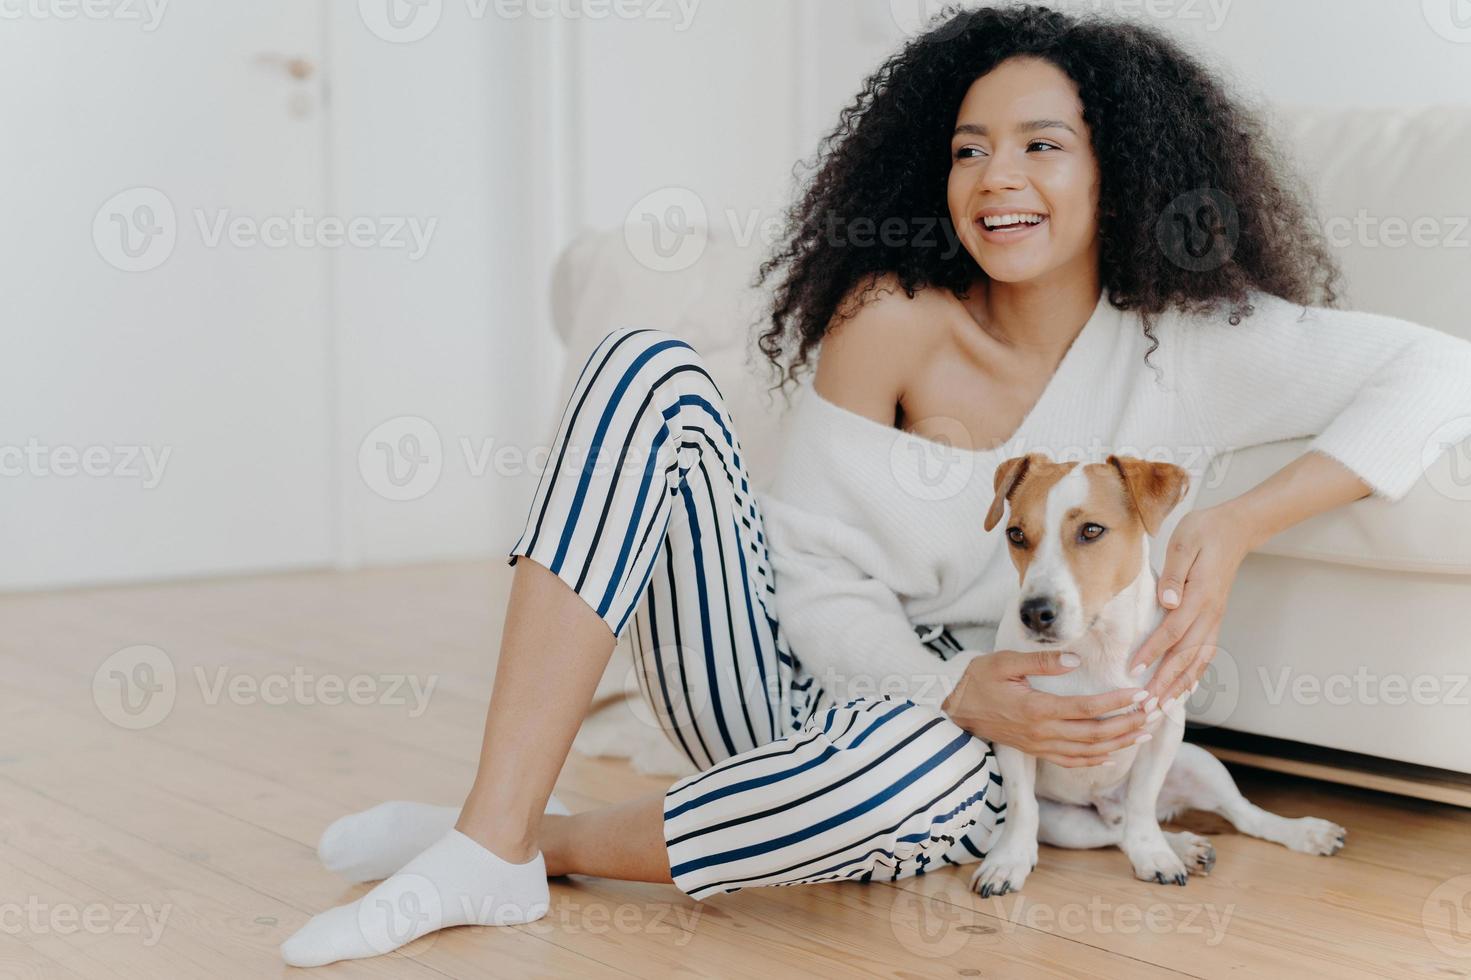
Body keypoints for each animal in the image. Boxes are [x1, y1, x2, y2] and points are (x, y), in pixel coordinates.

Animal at [970, 450, 1347, 894]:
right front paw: (1009, 860)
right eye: (1016, 534)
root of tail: (1106, 806)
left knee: (1242, 814)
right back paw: (1184, 846)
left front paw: (1153, 854)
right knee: (1114, 832)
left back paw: (1301, 833)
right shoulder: (1015, 728)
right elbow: (1020, 805)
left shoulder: (1165, 726)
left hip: (1199, 764)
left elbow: (1142, 800)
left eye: (1091, 530)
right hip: (1067, 824)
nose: (1033, 613)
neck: (1096, 646)